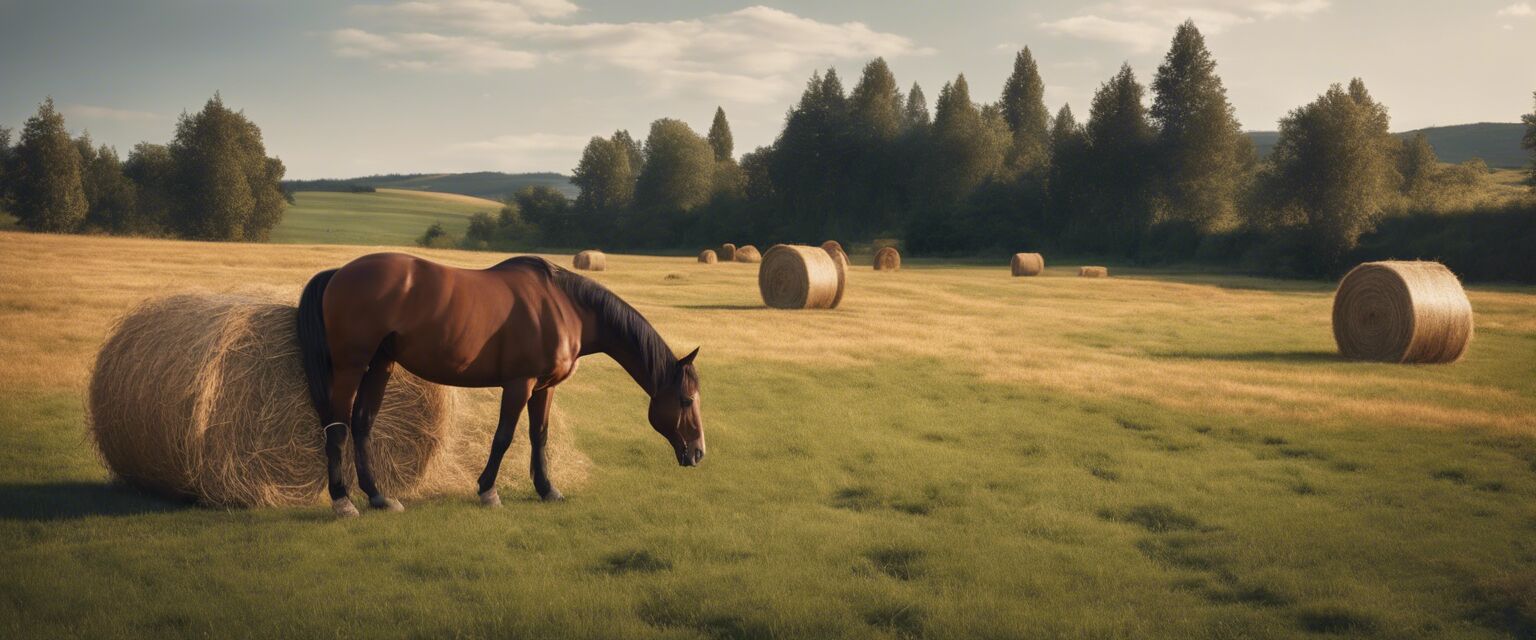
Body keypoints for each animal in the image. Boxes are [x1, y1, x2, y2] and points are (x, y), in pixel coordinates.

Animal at [293, 251, 703, 515]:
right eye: (685, 400)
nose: (698, 453)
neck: (565, 306)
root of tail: (340, 273)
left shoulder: (544, 388)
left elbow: (539, 436)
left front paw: (547, 489)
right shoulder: (520, 383)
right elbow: (504, 436)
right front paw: (488, 490)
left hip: (382, 364)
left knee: (362, 424)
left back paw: (379, 497)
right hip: (351, 366)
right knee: (338, 428)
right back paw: (343, 501)